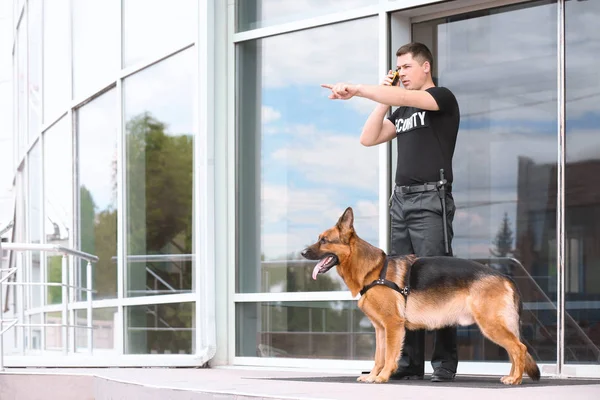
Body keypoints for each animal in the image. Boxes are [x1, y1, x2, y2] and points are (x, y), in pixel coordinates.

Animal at [302, 206, 540, 384]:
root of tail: (505, 277)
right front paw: (372, 376)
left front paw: (382, 377)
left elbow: (389, 355)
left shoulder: (393, 325)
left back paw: (516, 379)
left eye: (324, 240)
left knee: (519, 348)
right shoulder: (381, 329)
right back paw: (511, 376)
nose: (302, 252)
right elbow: (378, 356)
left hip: (490, 325)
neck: (373, 270)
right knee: (514, 350)